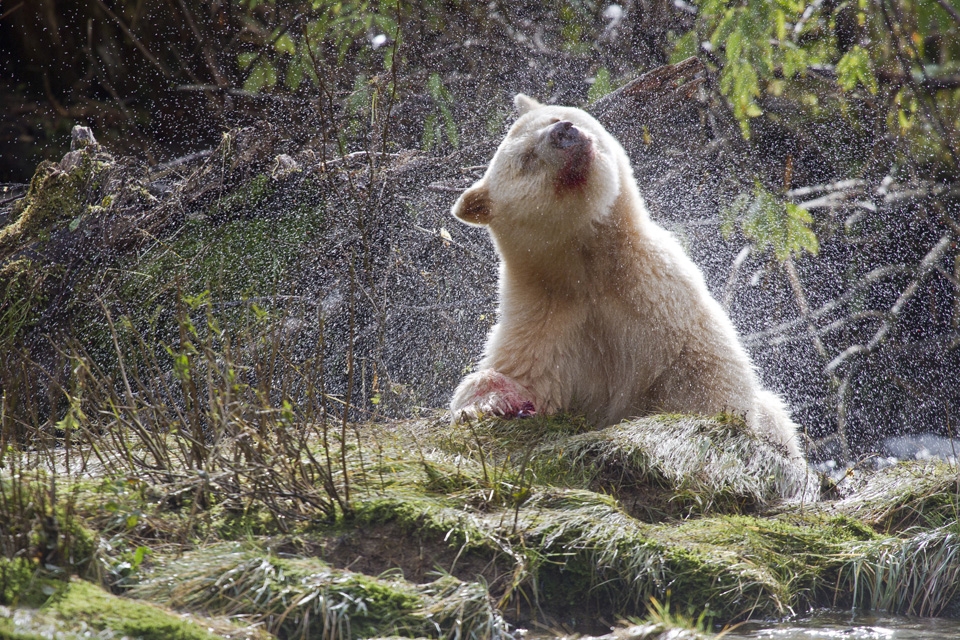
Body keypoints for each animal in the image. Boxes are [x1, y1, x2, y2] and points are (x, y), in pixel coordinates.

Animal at [449, 93, 803, 460]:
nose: (564, 131)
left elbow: (703, 375)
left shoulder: (666, 300)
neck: (589, 269)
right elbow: (528, 375)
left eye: (556, 117)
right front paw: (500, 401)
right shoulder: (544, 316)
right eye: (527, 158)